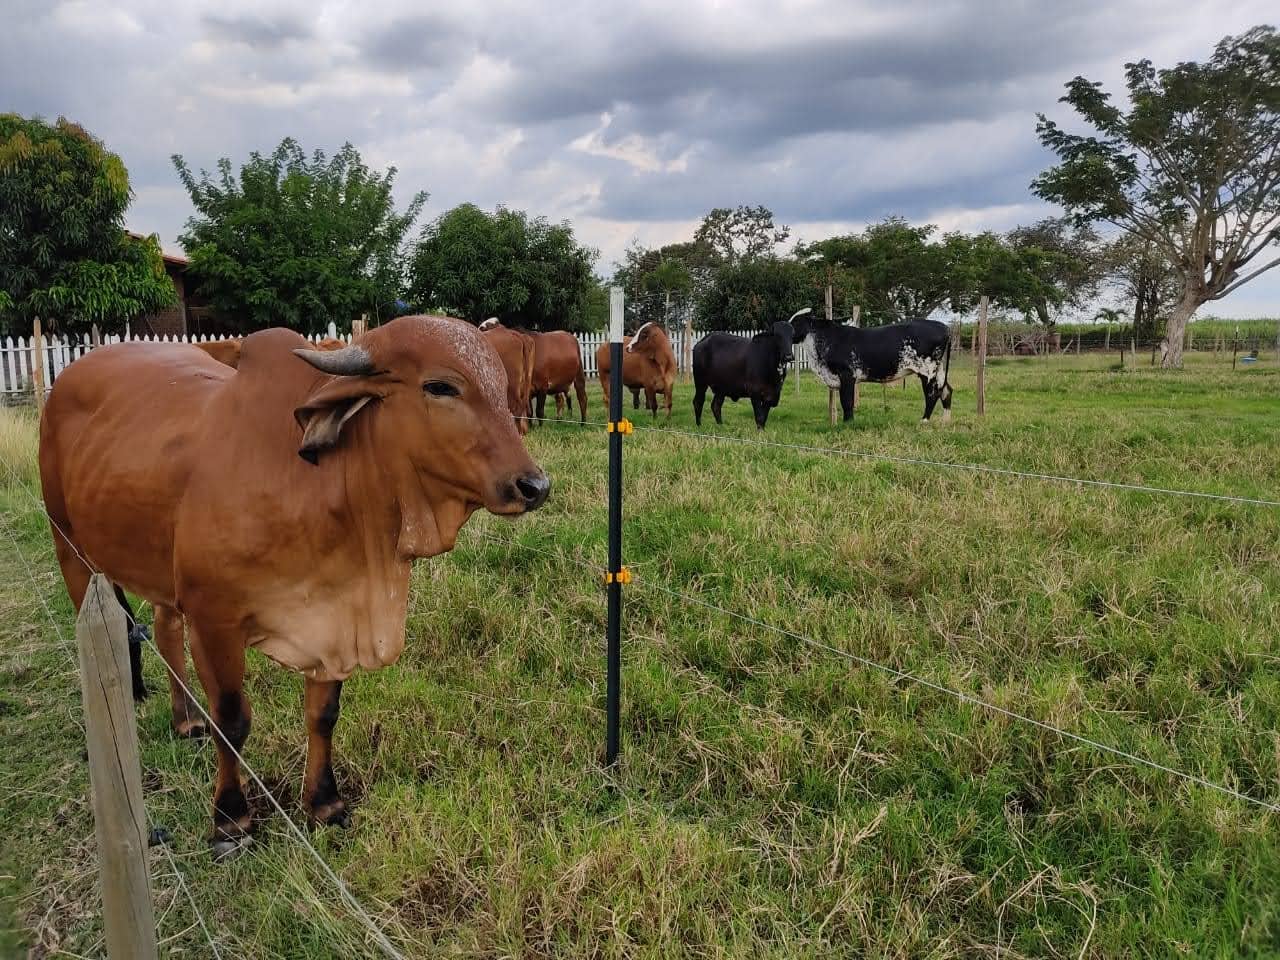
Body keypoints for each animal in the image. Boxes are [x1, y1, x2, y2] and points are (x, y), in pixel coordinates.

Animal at [38, 317, 550, 855]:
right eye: (441, 386)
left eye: (501, 384)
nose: (534, 486)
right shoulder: (214, 621)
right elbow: (232, 720)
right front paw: (230, 819)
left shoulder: (334, 617)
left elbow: (323, 714)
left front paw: (323, 802)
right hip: (69, 547)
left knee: (164, 630)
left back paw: (185, 719)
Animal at [793, 313, 957, 422]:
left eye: (795, 323)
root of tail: (944, 327)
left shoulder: (847, 375)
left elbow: (847, 402)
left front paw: (848, 423)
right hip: (939, 370)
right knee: (946, 391)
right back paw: (945, 422)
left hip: (927, 371)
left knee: (932, 394)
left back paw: (924, 421)